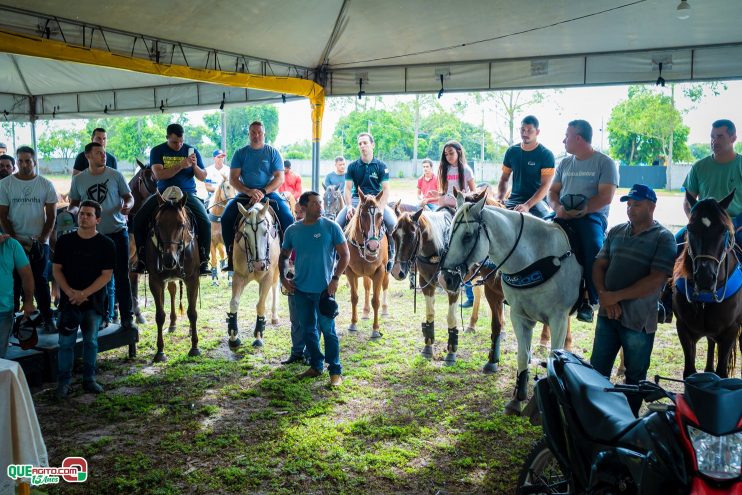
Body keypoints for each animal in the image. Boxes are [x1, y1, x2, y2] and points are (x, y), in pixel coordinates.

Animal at [145, 188, 202, 362]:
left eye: (181, 224)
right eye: (158, 224)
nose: (169, 260)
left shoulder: (192, 279)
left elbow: (192, 312)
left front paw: (194, 347)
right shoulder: (155, 281)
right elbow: (159, 315)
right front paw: (160, 351)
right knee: (172, 291)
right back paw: (172, 324)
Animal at [225, 202, 280, 348]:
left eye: (265, 232)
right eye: (245, 234)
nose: (257, 266)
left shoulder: (267, 277)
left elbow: (260, 305)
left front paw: (259, 336)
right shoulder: (238, 276)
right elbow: (234, 303)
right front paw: (233, 335)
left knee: (275, 287)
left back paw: (274, 316)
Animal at [348, 188, 392, 340]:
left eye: (380, 215)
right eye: (362, 215)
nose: (373, 247)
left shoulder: (380, 271)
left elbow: (376, 301)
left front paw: (375, 330)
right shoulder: (350, 272)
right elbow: (354, 298)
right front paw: (353, 323)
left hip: (385, 272)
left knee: (384, 287)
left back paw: (385, 309)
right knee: (367, 288)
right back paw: (365, 312)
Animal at [438, 192, 584, 416]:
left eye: (468, 236)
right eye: (448, 232)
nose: (446, 279)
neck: (536, 259)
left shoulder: (557, 318)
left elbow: (553, 355)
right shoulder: (517, 313)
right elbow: (520, 352)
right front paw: (516, 398)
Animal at [676, 192, 742, 378]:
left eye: (723, 230)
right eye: (690, 228)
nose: (705, 278)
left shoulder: (731, 331)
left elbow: (722, 373)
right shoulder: (683, 329)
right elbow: (689, 372)